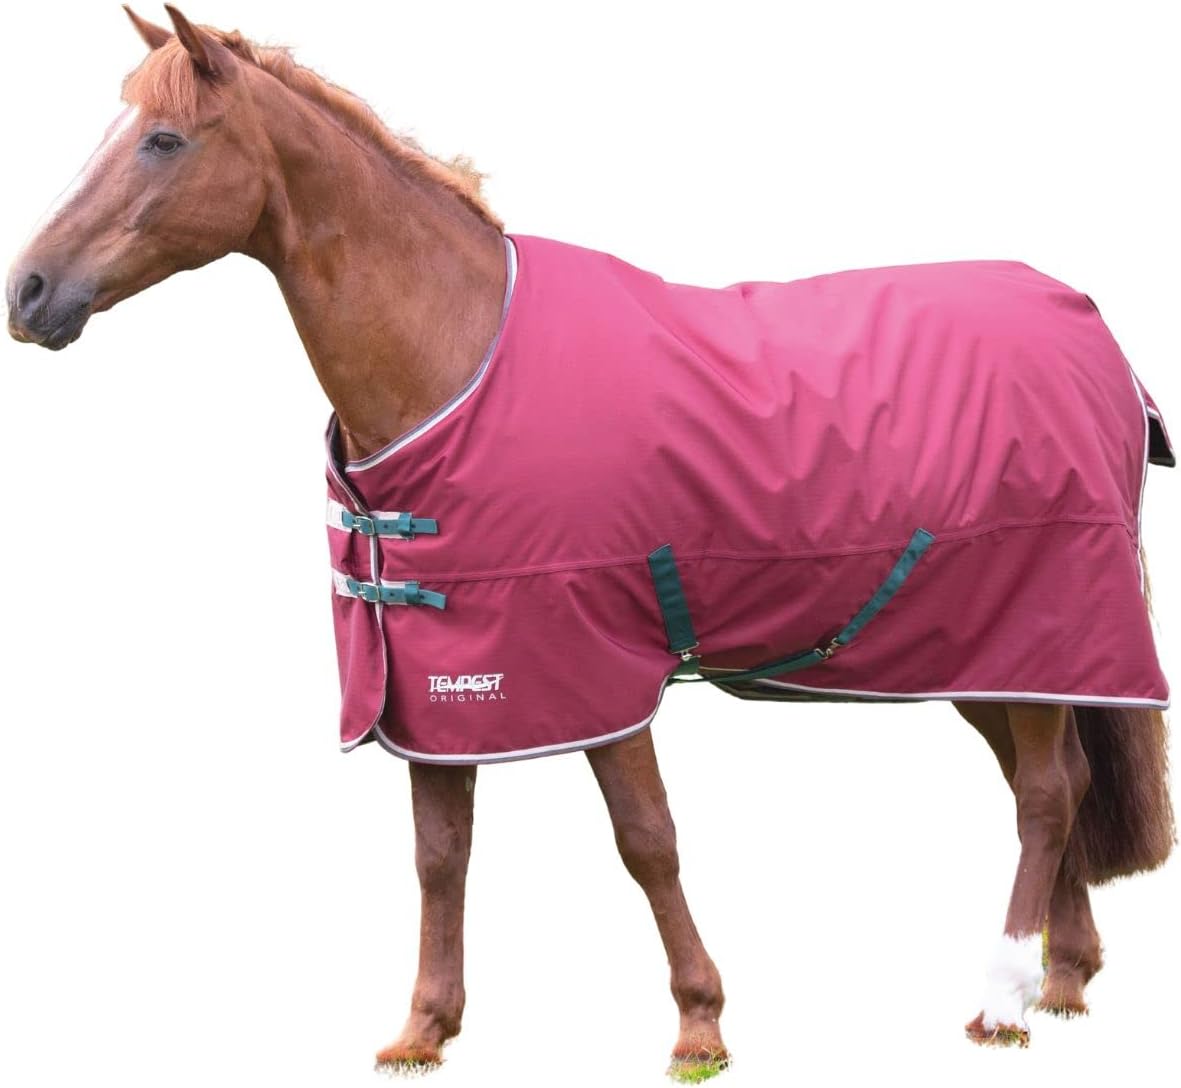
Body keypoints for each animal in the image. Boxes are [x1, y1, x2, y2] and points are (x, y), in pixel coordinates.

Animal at [6, 6, 1175, 1080]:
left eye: (163, 139)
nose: (28, 291)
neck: (457, 353)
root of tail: (1096, 337)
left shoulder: (602, 662)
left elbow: (645, 839)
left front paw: (699, 1025)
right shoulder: (440, 684)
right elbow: (440, 853)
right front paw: (424, 1028)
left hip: (1034, 622)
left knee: (1044, 793)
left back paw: (1000, 995)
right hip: (977, 647)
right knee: (1054, 777)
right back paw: (1059, 977)